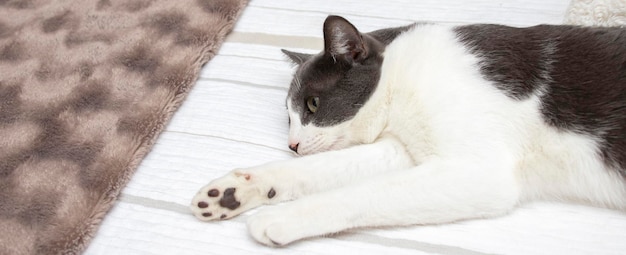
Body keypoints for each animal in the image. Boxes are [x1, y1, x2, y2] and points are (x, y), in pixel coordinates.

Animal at [189, 14, 624, 246]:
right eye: (288, 116)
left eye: (312, 105)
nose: (292, 143)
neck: (402, 80)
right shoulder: (401, 148)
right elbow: (323, 170)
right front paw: (235, 191)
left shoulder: (476, 173)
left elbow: (363, 193)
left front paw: (279, 218)